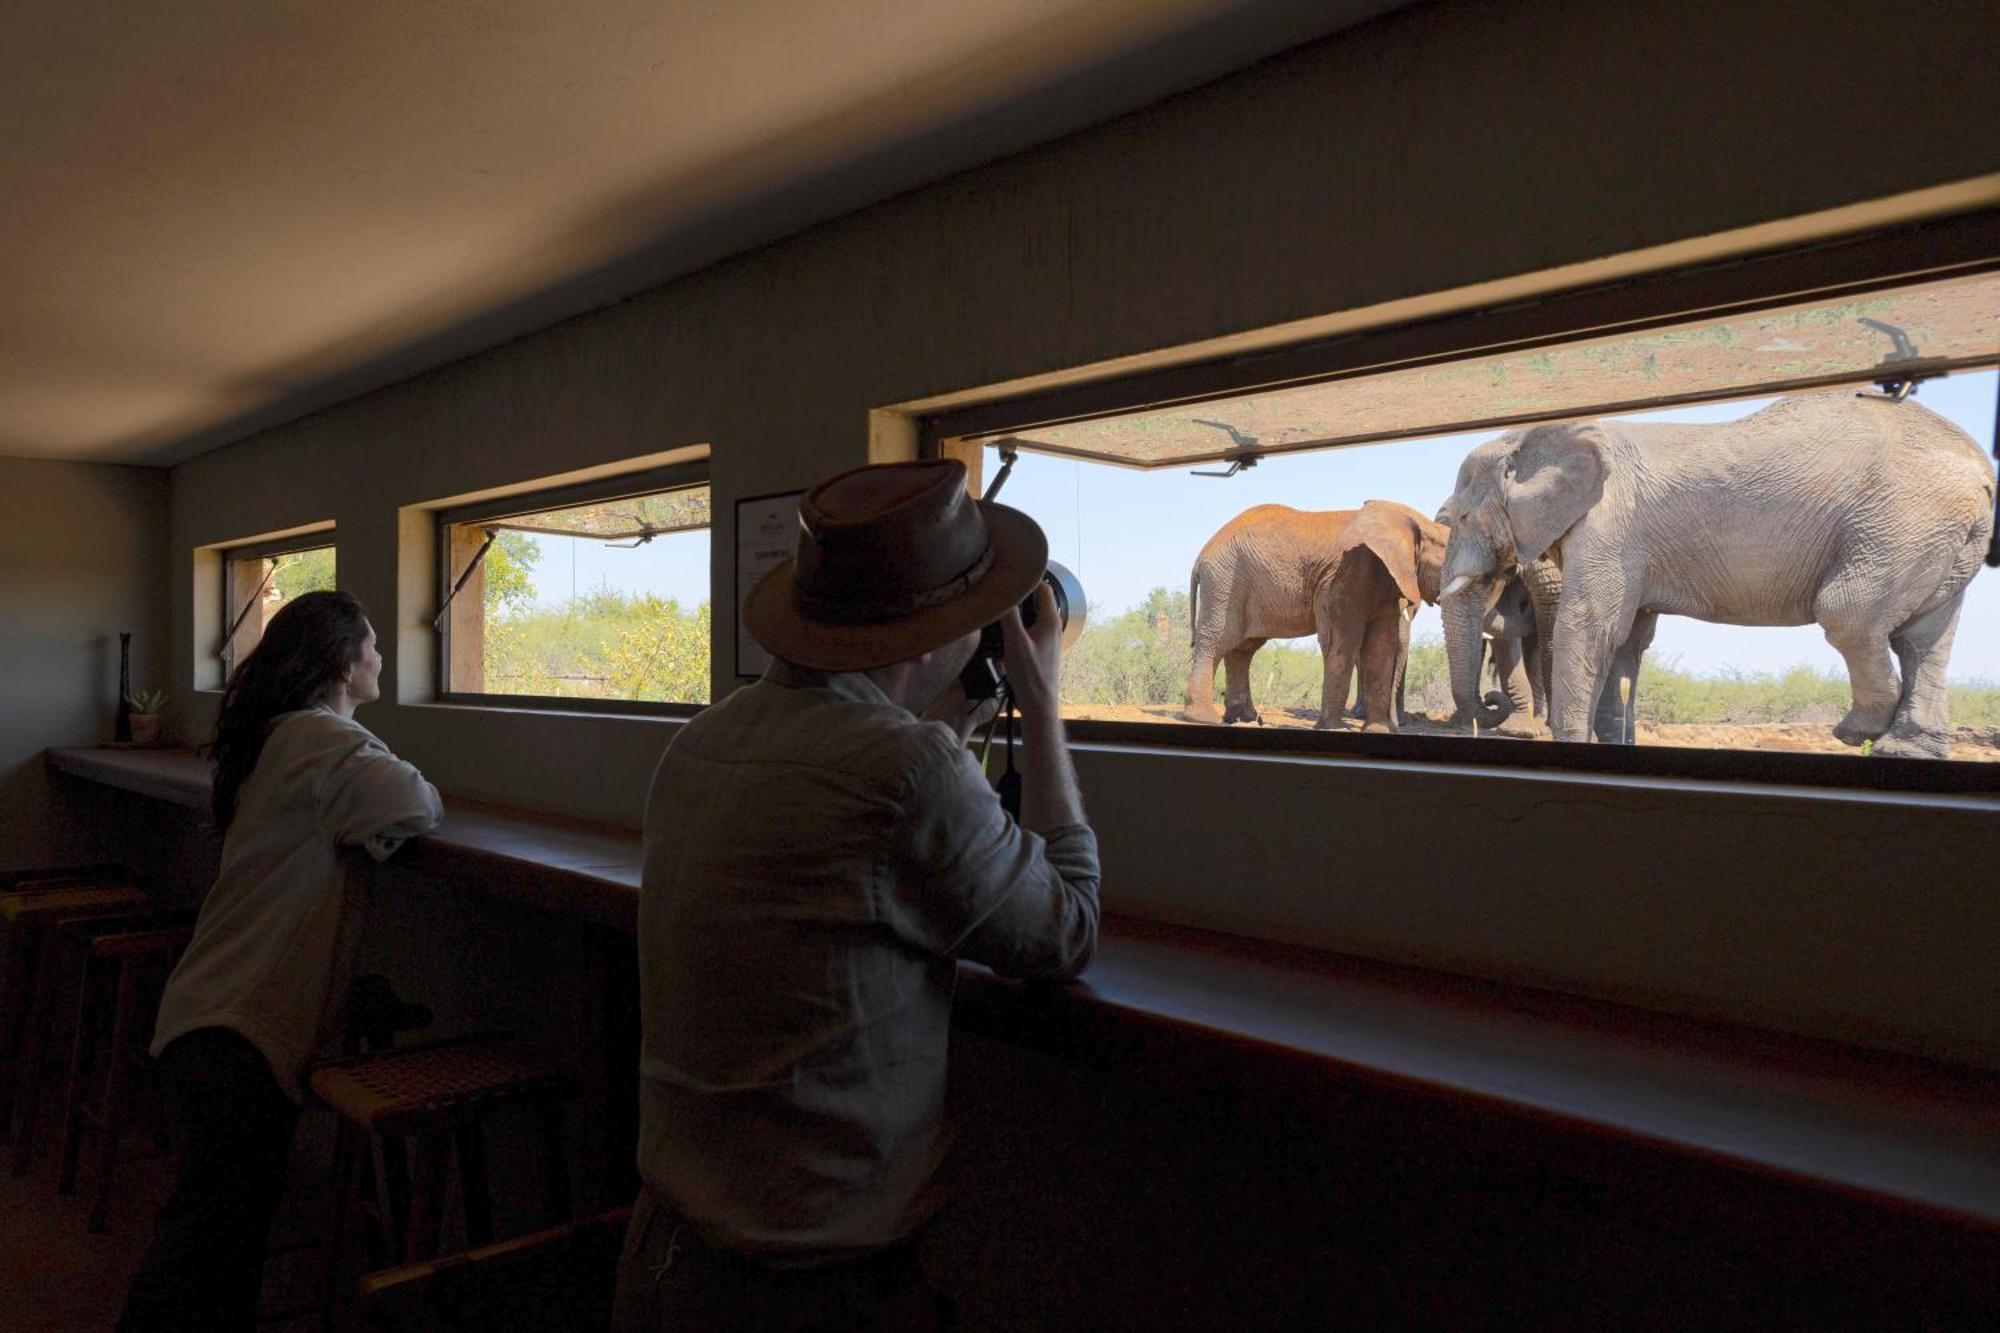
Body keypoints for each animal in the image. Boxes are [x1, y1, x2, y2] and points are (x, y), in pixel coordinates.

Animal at [1176, 498, 1448, 728]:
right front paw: (1335, 728)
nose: (1398, 725)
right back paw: (1204, 719)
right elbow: (1343, 641)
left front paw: (1378, 730)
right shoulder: (1347, 572)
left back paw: (1247, 719)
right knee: (1218, 642)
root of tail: (1201, 557)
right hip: (1225, 583)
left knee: (1243, 649)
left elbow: (1381, 647)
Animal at [1440, 390, 1984, 752]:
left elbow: (1591, 627)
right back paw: (1908, 746)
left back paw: (1857, 731)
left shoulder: (1611, 528)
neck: (1533, 435)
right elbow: (1628, 640)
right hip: (1935, 538)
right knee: (1924, 638)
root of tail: (1982, 470)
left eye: (1462, 518)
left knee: (1849, 614)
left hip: (1902, 522)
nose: (1489, 702)